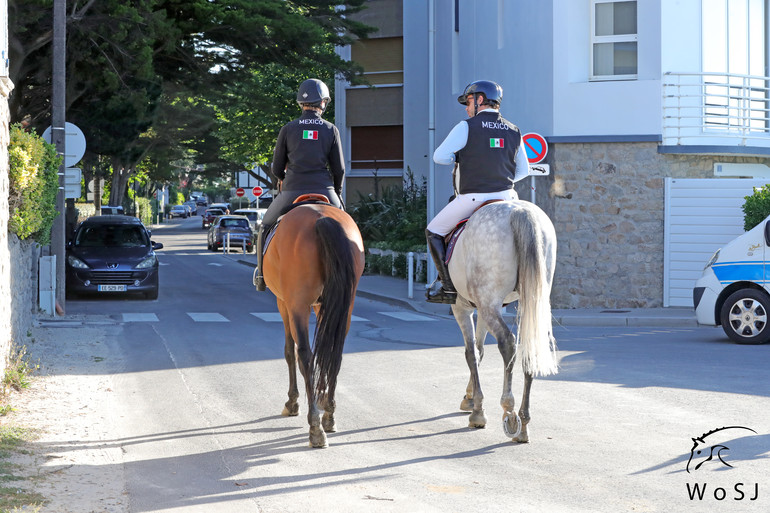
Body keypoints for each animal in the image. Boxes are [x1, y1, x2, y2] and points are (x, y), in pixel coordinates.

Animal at [262, 202, 364, 446]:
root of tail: (321, 218)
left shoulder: (284, 304)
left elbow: (291, 351)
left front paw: (294, 402)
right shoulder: (323, 306)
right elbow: (324, 352)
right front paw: (321, 399)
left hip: (297, 305)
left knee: (305, 355)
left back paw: (315, 426)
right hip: (345, 305)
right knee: (335, 352)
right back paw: (329, 415)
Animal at [448, 200, 556, 440]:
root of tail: (520, 211)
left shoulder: (463, 308)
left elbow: (471, 353)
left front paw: (477, 409)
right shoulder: (481, 309)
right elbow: (479, 351)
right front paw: (471, 398)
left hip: (489, 304)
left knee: (507, 342)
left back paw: (510, 410)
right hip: (527, 300)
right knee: (529, 346)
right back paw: (524, 422)